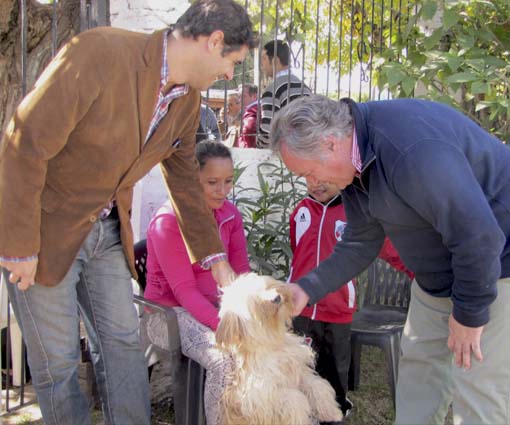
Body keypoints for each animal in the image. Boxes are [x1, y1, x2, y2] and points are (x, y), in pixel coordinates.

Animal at [215, 272, 342, 424]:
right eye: (254, 302)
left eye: (264, 286)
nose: (276, 297)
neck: (273, 344)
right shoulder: (259, 397)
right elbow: (296, 401)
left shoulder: (299, 372)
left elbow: (318, 386)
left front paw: (332, 412)